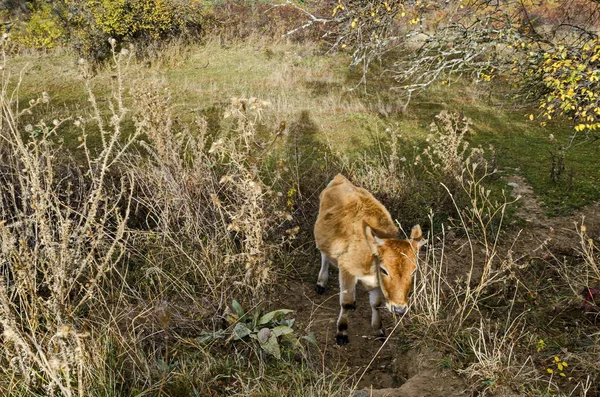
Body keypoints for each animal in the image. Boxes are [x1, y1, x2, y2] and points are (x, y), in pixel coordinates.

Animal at [312, 173, 424, 344]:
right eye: (384, 270)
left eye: (413, 271)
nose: (399, 309)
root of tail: (340, 178)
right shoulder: (346, 270)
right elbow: (345, 303)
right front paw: (342, 332)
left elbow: (376, 304)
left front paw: (378, 329)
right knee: (324, 256)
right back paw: (321, 282)